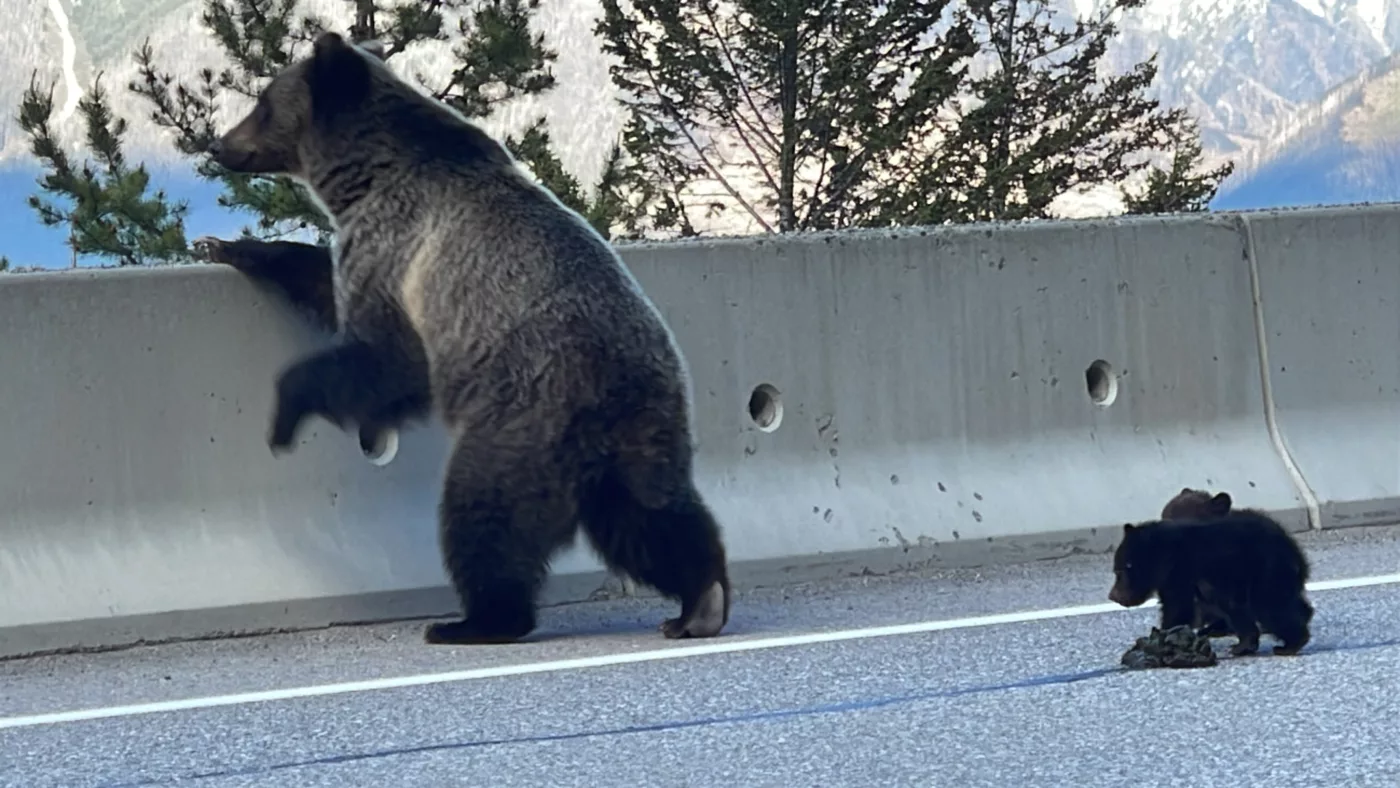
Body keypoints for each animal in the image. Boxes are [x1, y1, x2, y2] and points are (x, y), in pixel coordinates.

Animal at [208, 32, 739, 646]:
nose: (219, 145)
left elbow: (384, 358)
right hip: (643, 436)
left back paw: (474, 620)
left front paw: (285, 414)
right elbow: (325, 288)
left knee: (485, 515)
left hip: (523, 421)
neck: (363, 175)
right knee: (651, 519)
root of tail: (615, 395)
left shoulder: (397, 251)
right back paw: (699, 602)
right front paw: (229, 246)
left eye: (262, 103)